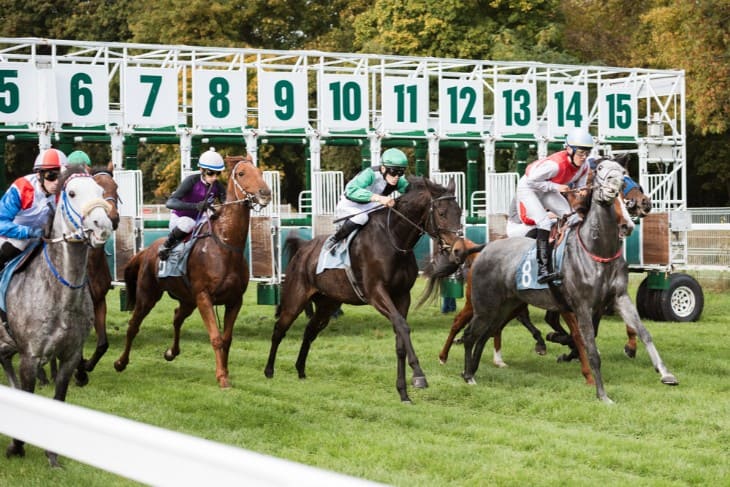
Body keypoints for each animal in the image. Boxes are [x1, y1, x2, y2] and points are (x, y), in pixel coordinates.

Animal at [0, 166, 112, 468]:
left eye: (100, 191)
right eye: (71, 193)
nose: (102, 225)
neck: (61, 295)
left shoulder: (70, 355)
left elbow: (58, 400)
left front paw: (52, 457)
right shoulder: (30, 357)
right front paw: (18, 447)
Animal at [114, 156, 270, 388]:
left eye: (260, 172)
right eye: (242, 173)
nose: (265, 193)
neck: (225, 246)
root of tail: (147, 250)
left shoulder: (235, 300)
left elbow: (227, 339)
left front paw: (225, 371)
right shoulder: (204, 297)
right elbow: (216, 338)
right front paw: (222, 378)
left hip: (188, 299)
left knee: (177, 317)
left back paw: (171, 352)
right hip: (147, 295)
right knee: (133, 325)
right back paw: (120, 362)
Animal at [264, 177, 464, 402]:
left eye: (459, 211)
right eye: (442, 213)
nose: (458, 249)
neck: (394, 239)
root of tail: (303, 249)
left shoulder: (402, 296)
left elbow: (400, 340)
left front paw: (403, 392)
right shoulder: (376, 293)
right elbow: (402, 326)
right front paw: (419, 375)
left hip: (327, 304)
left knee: (309, 331)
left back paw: (300, 370)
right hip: (295, 299)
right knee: (279, 329)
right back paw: (269, 371)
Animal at [460, 158, 676, 402]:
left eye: (624, 176)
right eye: (601, 171)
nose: (627, 225)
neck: (597, 249)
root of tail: (485, 248)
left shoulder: (618, 298)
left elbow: (643, 332)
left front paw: (665, 373)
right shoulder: (581, 307)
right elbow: (590, 348)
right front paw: (602, 394)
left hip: (505, 307)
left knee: (484, 336)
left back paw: (472, 371)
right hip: (486, 306)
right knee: (470, 335)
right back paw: (468, 375)